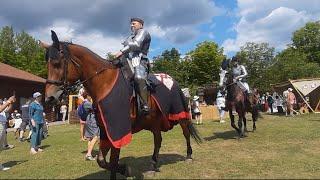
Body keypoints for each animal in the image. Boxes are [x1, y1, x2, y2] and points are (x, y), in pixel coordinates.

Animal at [43, 30, 201, 179]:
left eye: (57, 63)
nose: (49, 97)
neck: (105, 83)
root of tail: (173, 81)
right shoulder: (106, 131)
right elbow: (101, 160)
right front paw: (125, 169)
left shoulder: (118, 130)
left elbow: (113, 161)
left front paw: (123, 169)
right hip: (155, 122)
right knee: (158, 140)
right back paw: (153, 165)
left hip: (180, 114)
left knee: (186, 133)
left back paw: (188, 155)